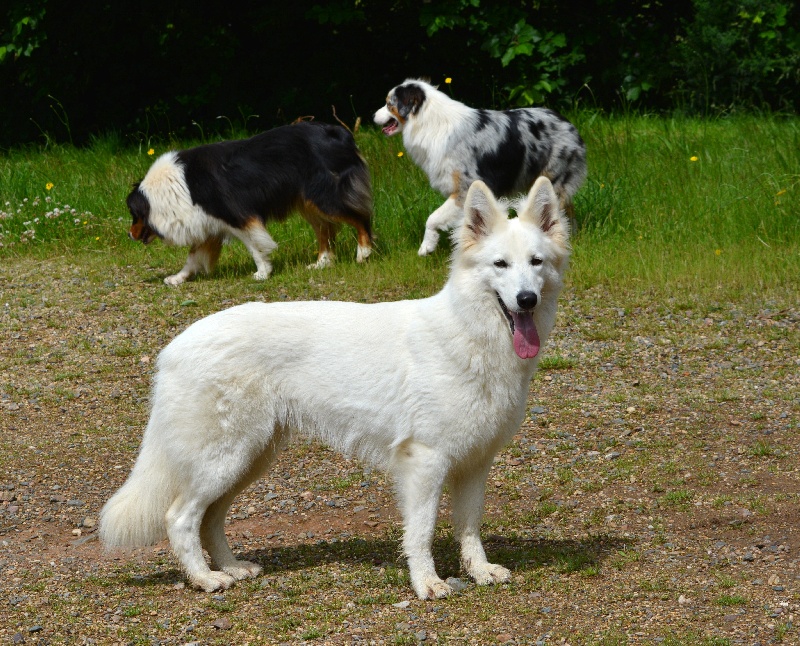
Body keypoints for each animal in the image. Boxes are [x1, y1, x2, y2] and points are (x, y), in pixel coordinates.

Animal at [100, 177, 572, 604]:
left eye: (536, 262)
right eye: (500, 265)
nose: (526, 299)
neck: (469, 334)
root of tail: (173, 348)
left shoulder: (475, 463)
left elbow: (469, 527)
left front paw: (479, 571)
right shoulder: (425, 463)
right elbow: (421, 532)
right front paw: (426, 584)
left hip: (249, 459)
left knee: (211, 518)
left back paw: (231, 567)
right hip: (224, 459)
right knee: (180, 518)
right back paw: (205, 579)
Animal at [376, 78, 588, 256]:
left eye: (389, 104)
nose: (372, 116)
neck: (428, 121)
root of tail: (569, 124)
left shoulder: (464, 187)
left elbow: (432, 218)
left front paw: (426, 246)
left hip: (554, 179)